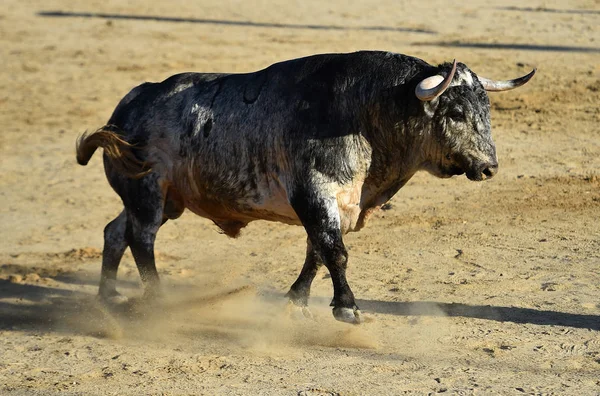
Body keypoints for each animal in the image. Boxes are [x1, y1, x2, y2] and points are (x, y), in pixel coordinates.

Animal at [76, 51, 536, 324]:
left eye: (487, 109)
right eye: (455, 112)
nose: (489, 166)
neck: (365, 113)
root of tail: (127, 107)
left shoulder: (341, 204)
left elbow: (317, 251)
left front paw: (296, 299)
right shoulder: (315, 193)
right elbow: (335, 251)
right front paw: (347, 308)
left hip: (163, 199)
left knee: (115, 232)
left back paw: (107, 297)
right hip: (149, 194)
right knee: (143, 239)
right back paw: (156, 300)